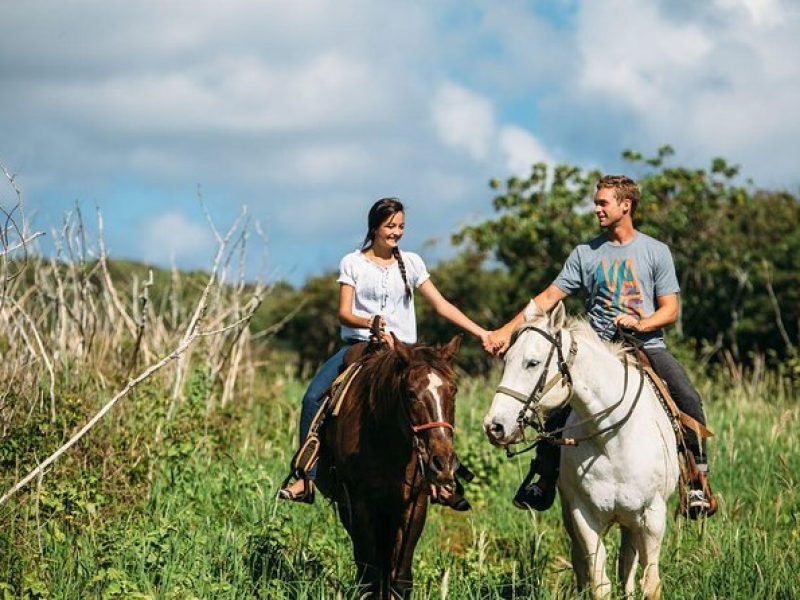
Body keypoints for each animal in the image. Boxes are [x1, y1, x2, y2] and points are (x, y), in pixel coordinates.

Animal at [314, 336, 462, 596]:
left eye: (453, 391)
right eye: (411, 394)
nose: (443, 464)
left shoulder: (414, 503)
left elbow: (400, 579)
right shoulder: (359, 504)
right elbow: (370, 576)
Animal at [484, 302, 680, 596]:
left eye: (532, 363)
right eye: (506, 361)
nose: (494, 426)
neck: (612, 439)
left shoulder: (653, 516)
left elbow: (650, 584)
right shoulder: (583, 515)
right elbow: (599, 582)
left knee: (628, 566)